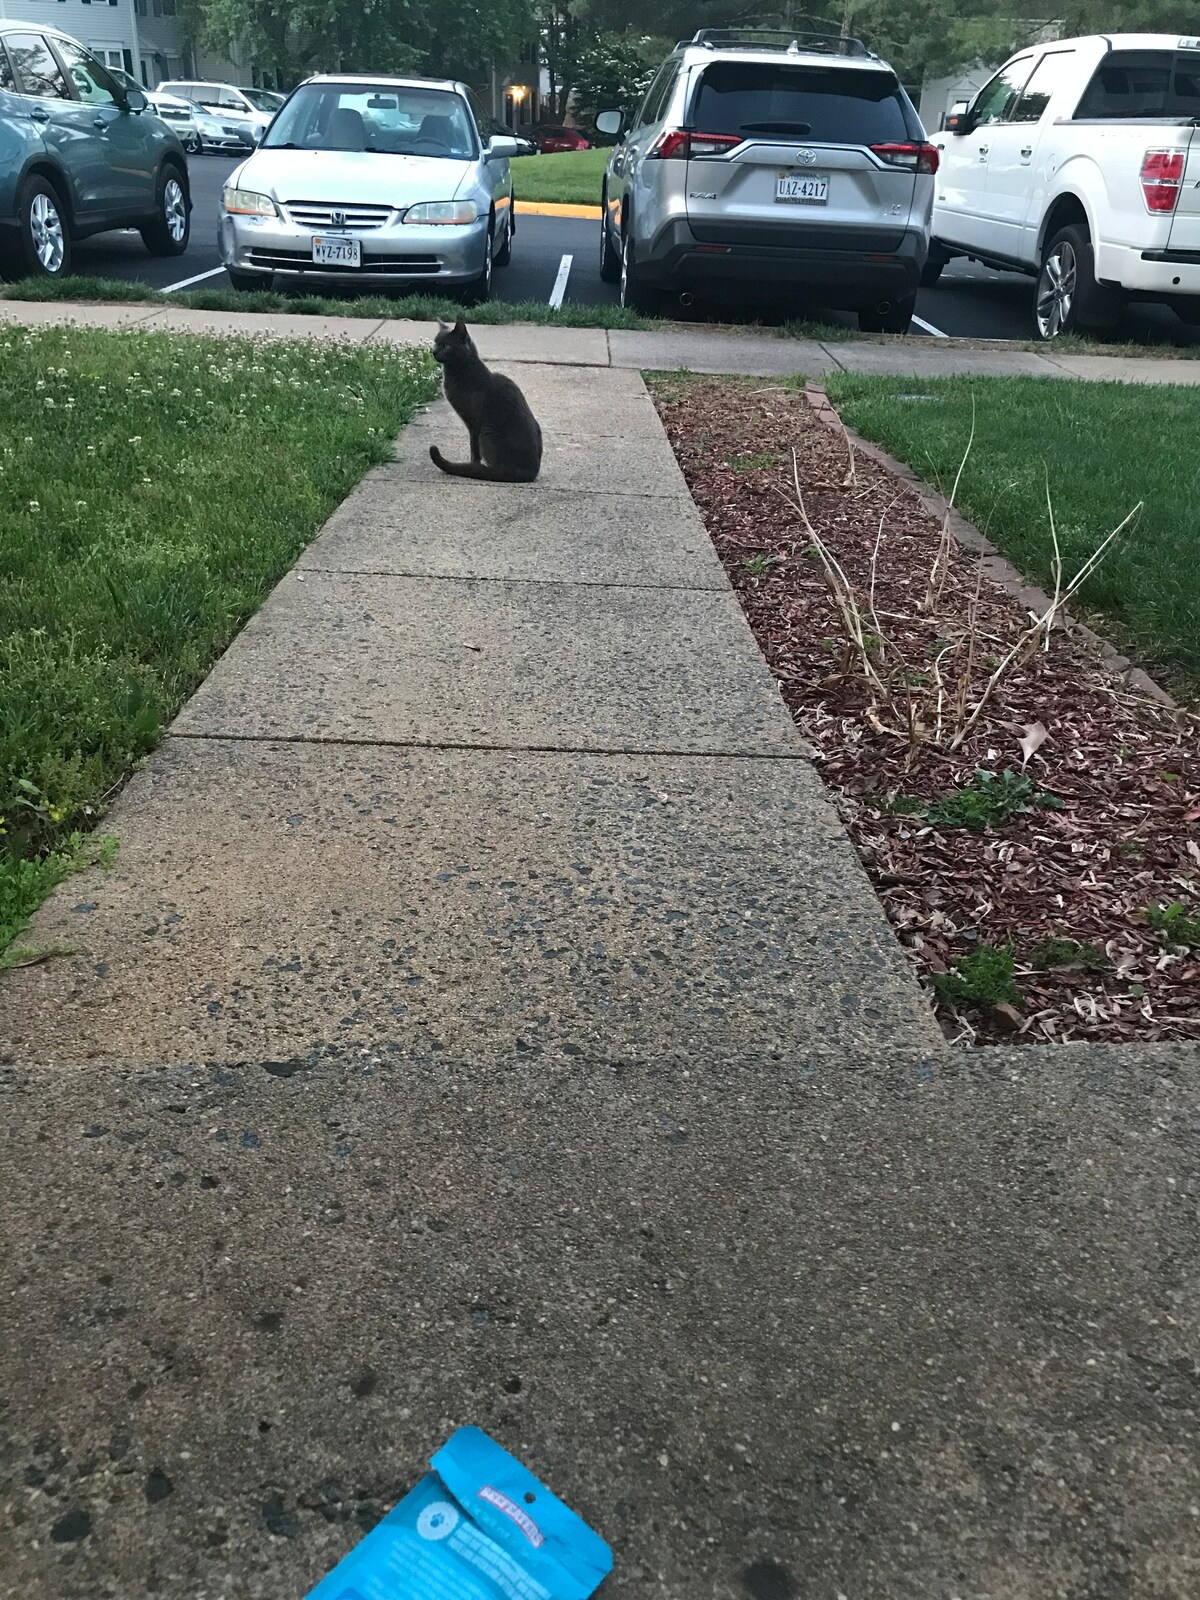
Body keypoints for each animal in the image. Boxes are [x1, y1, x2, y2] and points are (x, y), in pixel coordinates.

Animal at [428, 318, 544, 480]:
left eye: (446, 346)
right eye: (435, 343)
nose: (433, 351)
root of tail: (530, 472)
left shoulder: (474, 423)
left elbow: (474, 448)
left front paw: (473, 464)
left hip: (488, 431)